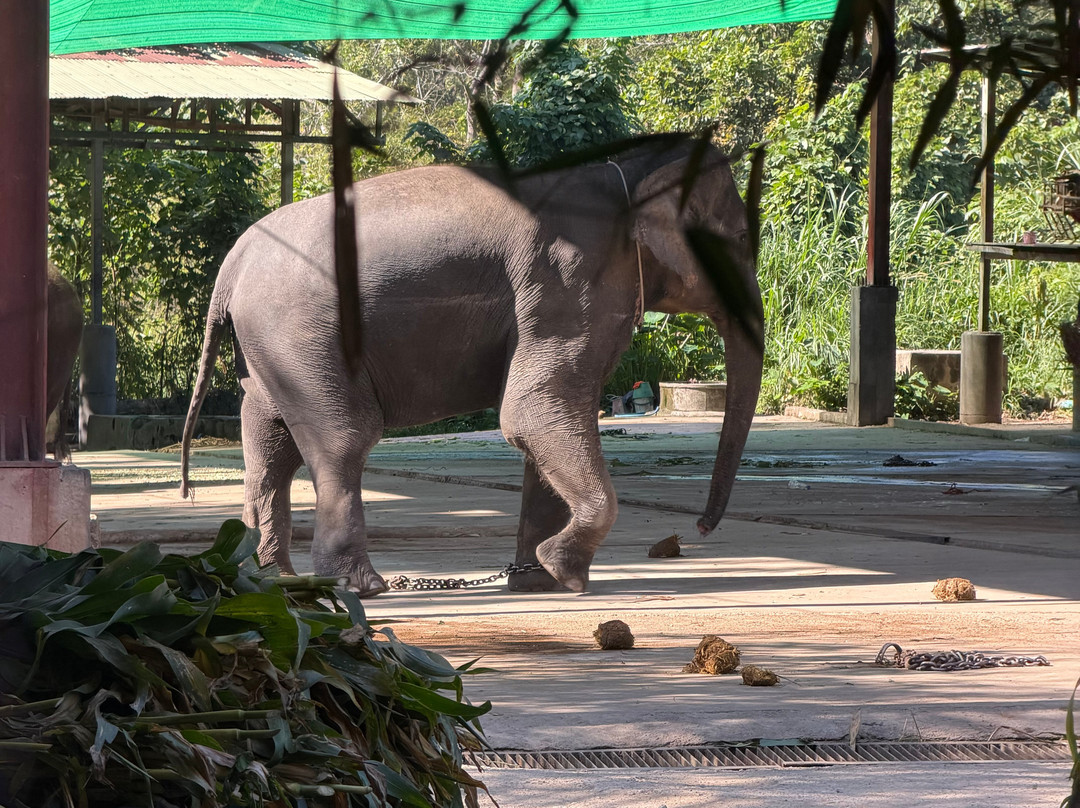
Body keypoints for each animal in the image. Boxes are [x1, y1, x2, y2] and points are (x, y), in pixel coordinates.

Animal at [180, 138, 764, 597]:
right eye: (740, 238)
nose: (700, 528)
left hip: (268, 346)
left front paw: (541, 581)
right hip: (301, 333)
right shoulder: (570, 284)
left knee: (268, 446)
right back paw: (361, 586)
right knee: (343, 439)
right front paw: (564, 572)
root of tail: (233, 263)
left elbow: (541, 423)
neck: (628, 170)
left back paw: (274, 577)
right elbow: (531, 412)